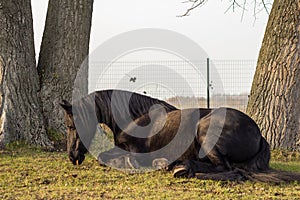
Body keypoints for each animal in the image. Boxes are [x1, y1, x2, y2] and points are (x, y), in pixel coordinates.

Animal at [60, 90, 300, 182]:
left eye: (71, 125)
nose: (72, 156)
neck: (135, 119)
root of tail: (259, 135)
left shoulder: (134, 150)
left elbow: (108, 158)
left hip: (206, 134)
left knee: (228, 169)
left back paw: (179, 167)